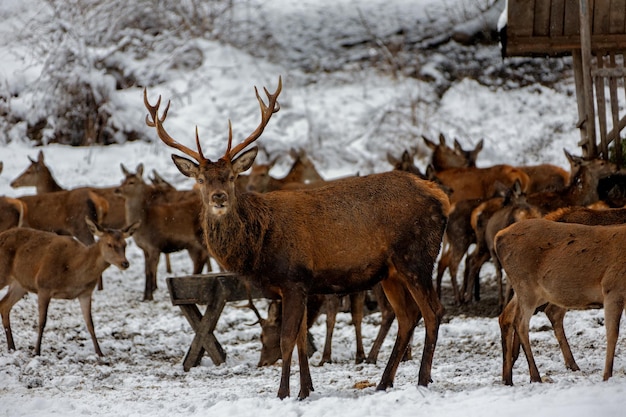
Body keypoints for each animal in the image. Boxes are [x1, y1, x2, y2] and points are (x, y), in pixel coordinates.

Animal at [0, 216, 136, 356]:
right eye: (109, 244)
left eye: (125, 244)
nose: (125, 263)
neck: (72, 271)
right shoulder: (43, 286)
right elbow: (42, 322)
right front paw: (37, 351)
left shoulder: (86, 293)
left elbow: (90, 324)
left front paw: (99, 353)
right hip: (4, 273)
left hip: (20, 284)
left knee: (4, 305)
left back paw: (11, 347)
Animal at [113, 162, 208, 300]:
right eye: (122, 180)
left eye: (131, 182)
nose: (117, 190)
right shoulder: (145, 249)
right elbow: (146, 271)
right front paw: (145, 296)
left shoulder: (154, 246)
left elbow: (151, 271)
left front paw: (150, 296)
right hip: (193, 245)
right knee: (200, 260)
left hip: (200, 239)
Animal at [144, 76, 448, 398]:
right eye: (201, 179)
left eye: (231, 177)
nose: (218, 197)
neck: (259, 246)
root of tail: (440, 196)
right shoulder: (299, 285)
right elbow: (302, 337)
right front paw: (306, 389)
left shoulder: (293, 278)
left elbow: (287, 339)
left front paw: (283, 393)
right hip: (390, 271)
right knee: (407, 317)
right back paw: (383, 382)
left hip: (416, 256)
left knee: (433, 311)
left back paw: (422, 379)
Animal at [494, 219, 624, 386]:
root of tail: (499, 236)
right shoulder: (613, 287)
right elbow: (612, 333)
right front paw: (607, 376)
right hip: (525, 284)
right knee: (521, 323)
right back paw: (535, 376)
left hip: (537, 291)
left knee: (506, 316)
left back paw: (507, 378)